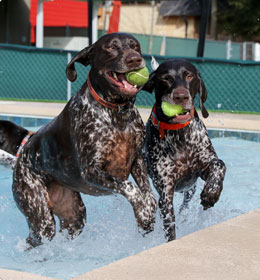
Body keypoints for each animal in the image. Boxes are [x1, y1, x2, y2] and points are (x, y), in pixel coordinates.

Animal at [143, 58, 226, 241]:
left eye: (189, 76)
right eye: (166, 78)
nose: (180, 96)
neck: (179, 136)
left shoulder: (203, 168)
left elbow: (219, 164)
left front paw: (211, 193)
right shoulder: (165, 191)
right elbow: (170, 227)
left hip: (190, 189)